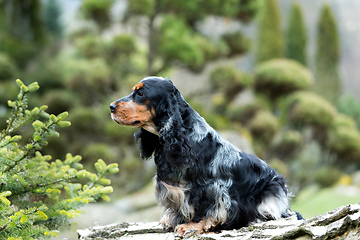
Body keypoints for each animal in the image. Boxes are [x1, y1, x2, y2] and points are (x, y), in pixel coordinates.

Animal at [109, 76, 300, 236]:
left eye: (140, 93)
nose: (111, 107)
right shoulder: (173, 188)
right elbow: (179, 207)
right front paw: (172, 220)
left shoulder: (212, 188)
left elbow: (205, 208)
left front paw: (191, 226)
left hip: (272, 190)